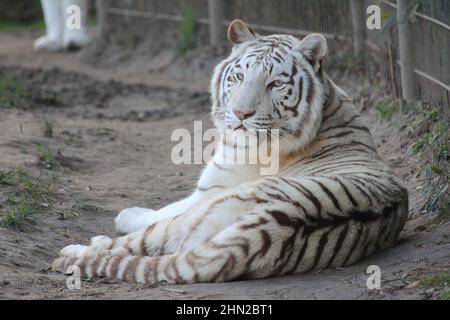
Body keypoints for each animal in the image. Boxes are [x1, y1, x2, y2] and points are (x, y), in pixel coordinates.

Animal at [52, 20, 408, 284]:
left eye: (275, 84)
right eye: (239, 75)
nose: (240, 113)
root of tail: (264, 231)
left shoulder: (208, 192)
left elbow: (161, 210)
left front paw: (126, 214)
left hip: (199, 215)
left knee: (131, 244)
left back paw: (76, 251)